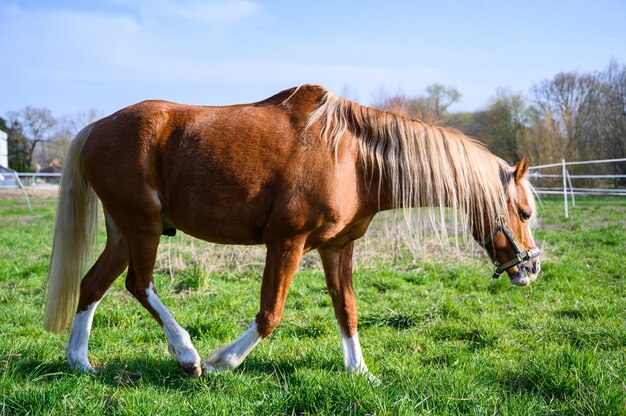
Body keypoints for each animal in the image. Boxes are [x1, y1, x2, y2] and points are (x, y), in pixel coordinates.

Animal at [44, 84, 540, 380]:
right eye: (524, 212)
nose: (531, 268)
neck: (351, 158)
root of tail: (96, 128)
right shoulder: (287, 242)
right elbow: (270, 315)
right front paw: (223, 361)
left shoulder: (337, 248)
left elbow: (347, 310)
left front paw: (360, 372)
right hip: (142, 226)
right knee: (139, 284)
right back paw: (187, 355)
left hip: (123, 232)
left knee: (92, 285)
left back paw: (80, 362)